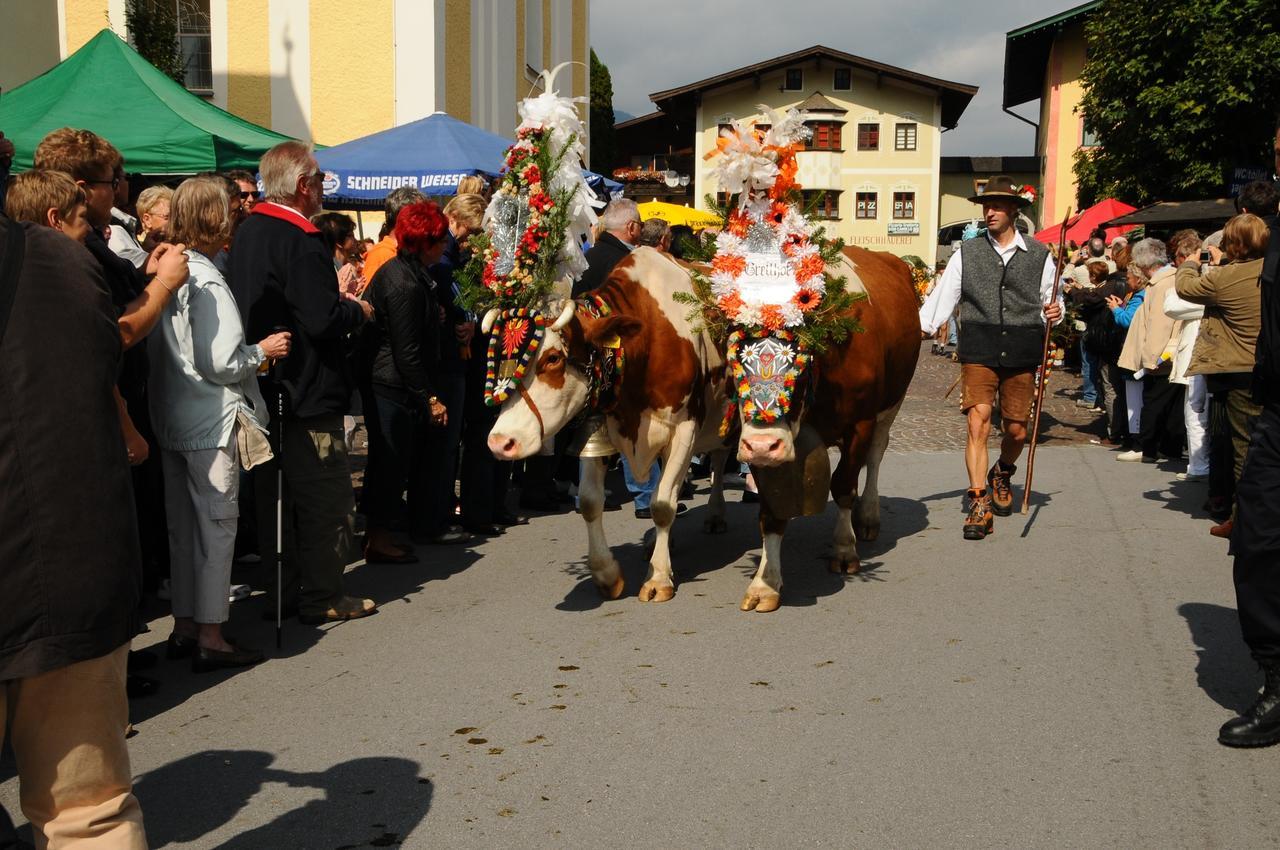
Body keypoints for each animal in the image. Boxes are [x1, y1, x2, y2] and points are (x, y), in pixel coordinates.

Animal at [486, 245, 737, 604]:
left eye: (553, 358)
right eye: (497, 359)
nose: (500, 442)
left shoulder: (684, 429)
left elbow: (663, 504)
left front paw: (658, 578)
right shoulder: (599, 426)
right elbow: (591, 503)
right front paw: (606, 574)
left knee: (718, 458)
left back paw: (715, 513)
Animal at [732, 244, 921, 611]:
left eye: (800, 364)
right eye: (735, 364)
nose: (762, 445)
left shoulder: (861, 423)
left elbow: (844, 485)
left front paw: (845, 549)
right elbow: (772, 510)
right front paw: (766, 583)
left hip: (894, 401)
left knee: (875, 456)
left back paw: (868, 517)